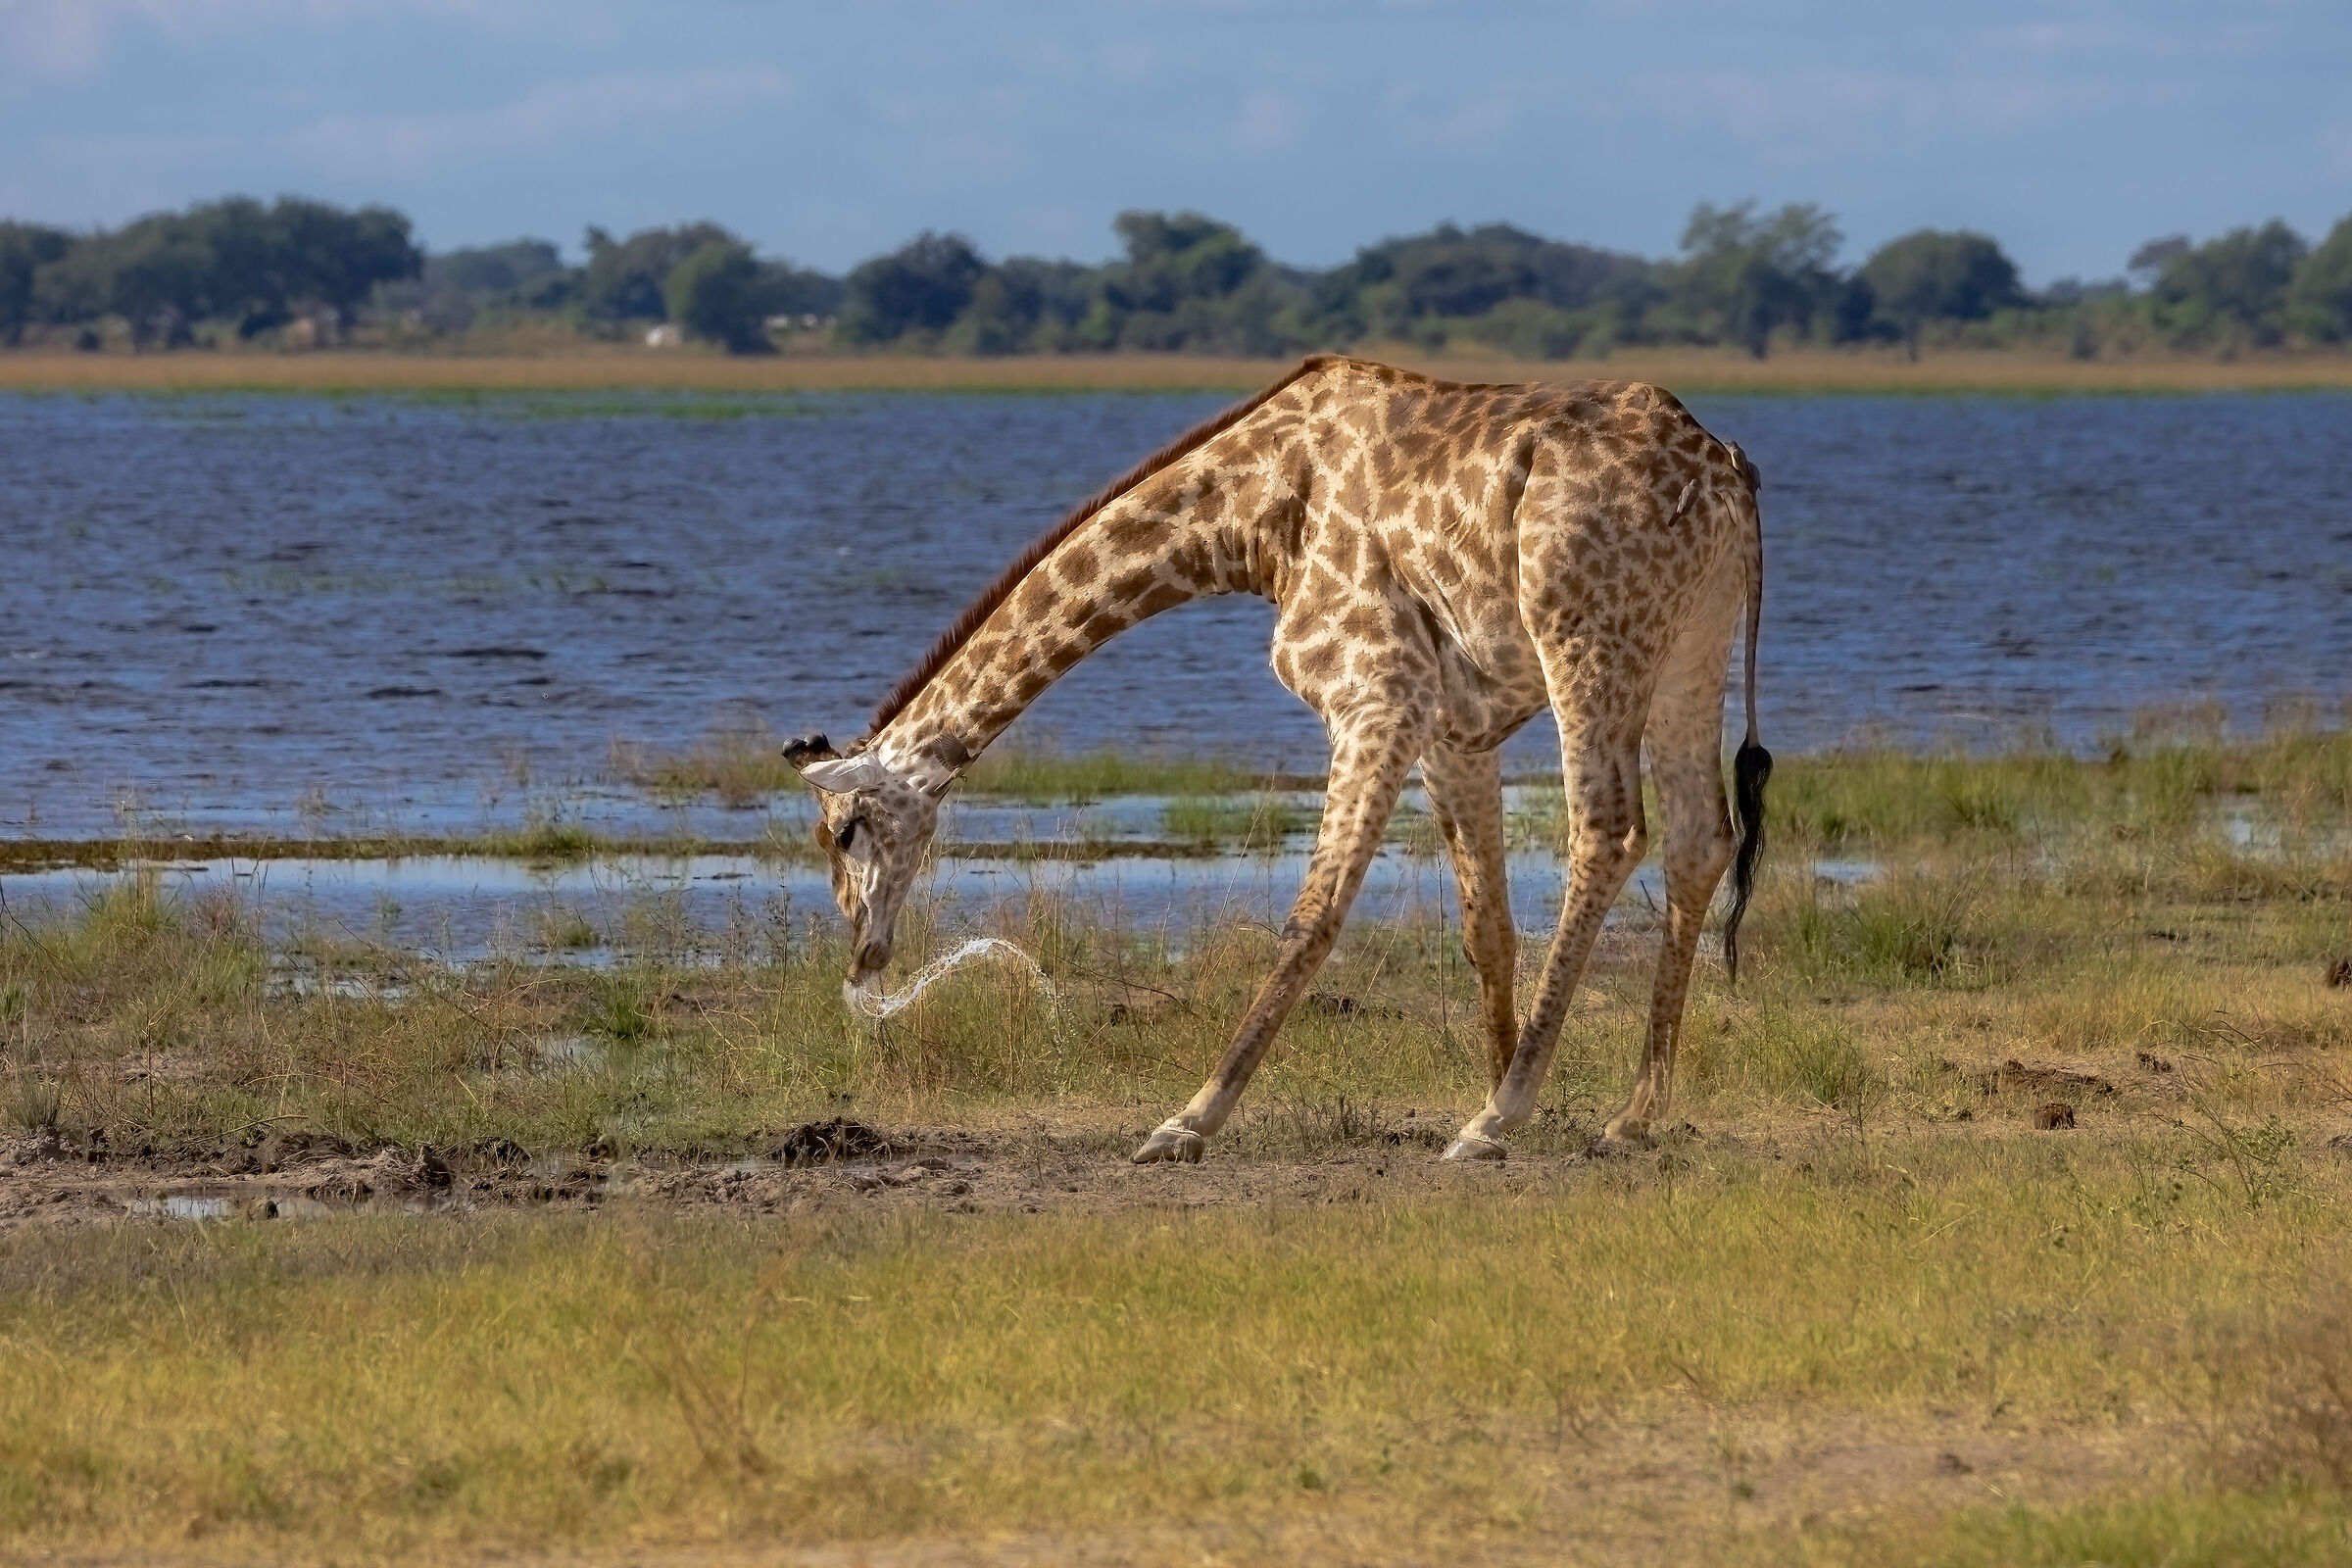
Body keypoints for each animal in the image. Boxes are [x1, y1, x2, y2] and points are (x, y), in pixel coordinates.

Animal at [785, 354, 1771, 1163]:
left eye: (844, 831)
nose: (862, 960)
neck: (1251, 518)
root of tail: (1726, 466)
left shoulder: (1376, 693)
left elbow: (1312, 915)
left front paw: (1189, 1120)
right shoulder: (1451, 725)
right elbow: (1483, 926)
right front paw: (1509, 1092)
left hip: (1587, 640)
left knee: (1609, 831)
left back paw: (1516, 1119)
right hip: (1690, 645)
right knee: (1700, 838)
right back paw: (1631, 1115)